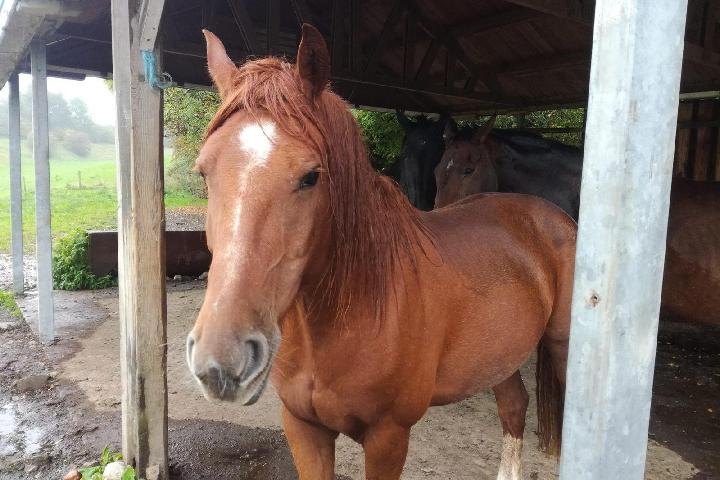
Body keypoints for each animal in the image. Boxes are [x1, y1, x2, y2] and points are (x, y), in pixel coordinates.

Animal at [188, 26, 576, 480]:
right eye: (204, 171)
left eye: (311, 176)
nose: (222, 360)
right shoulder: (303, 427)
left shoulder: (388, 438)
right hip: (500, 355)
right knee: (514, 405)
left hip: (564, 349)